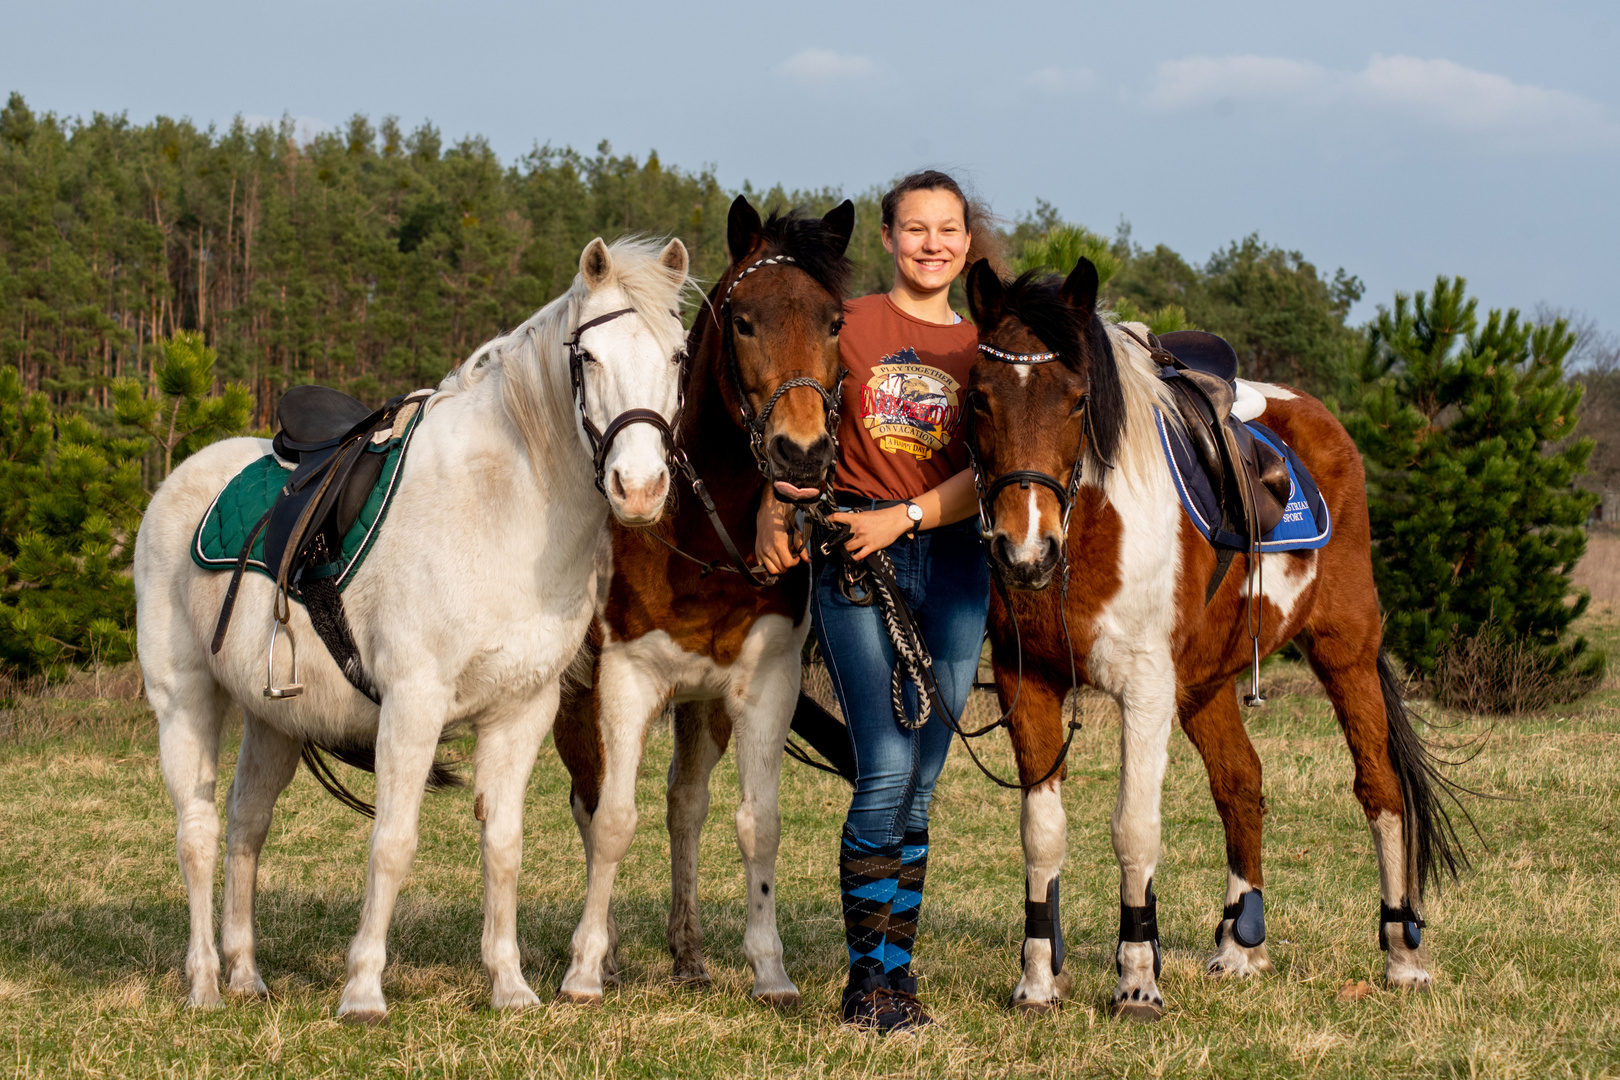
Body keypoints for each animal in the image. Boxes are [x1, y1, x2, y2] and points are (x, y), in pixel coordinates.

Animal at [137, 236, 690, 1023]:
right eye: (587, 357)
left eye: (677, 355)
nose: (638, 489)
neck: (499, 510)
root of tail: (178, 481)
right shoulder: (413, 704)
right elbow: (392, 843)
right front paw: (364, 990)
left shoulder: (522, 711)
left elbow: (505, 846)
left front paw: (509, 985)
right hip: (184, 701)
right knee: (198, 834)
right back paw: (206, 983)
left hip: (273, 720)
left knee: (246, 826)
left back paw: (245, 973)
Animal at [554, 196, 861, 1003]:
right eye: (744, 321)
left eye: (835, 322)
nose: (801, 454)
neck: (697, 527)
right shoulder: (625, 681)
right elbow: (613, 821)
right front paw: (584, 969)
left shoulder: (762, 685)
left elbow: (757, 822)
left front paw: (769, 967)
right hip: (575, 697)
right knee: (591, 801)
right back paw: (607, 952)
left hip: (700, 709)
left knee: (684, 805)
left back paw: (688, 953)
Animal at [952, 257, 1464, 1016]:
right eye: (980, 399)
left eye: (1077, 401)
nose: (1026, 552)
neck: (1091, 528)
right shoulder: (1030, 685)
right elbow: (1042, 836)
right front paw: (1038, 983)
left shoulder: (1145, 690)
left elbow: (1134, 830)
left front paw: (1137, 981)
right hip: (1206, 683)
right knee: (1240, 783)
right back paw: (1240, 943)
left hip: (1345, 650)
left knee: (1381, 788)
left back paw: (1403, 954)